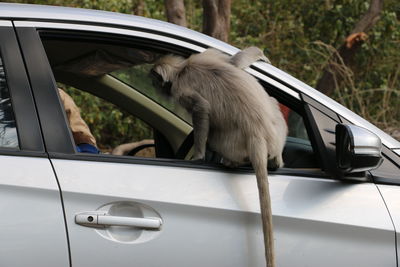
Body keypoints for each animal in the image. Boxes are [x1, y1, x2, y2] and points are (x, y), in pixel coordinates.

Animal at [151, 46, 288, 267]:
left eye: (155, 81)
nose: (153, 86)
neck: (183, 69)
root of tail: (257, 133)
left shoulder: (180, 88)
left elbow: (201, 109)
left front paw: (198, 156)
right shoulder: (208, 55)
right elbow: (234, 63)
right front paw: (259, 54)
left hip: (230, 144)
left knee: (213, 132)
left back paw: (230, 161)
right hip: (276, 132)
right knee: (273, 102)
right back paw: (276, 161)